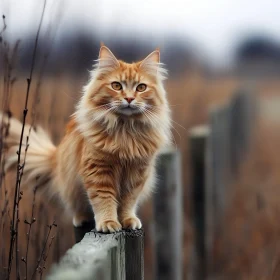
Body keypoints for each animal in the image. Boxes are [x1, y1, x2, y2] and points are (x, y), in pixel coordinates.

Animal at [2, 46, 171, 233]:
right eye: (116, 86)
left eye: (141, 88)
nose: (128, 98)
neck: (125, 131)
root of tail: (55, 158)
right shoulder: (98, 170)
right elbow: (104, 200)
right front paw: (108, 223)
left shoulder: (137, 174)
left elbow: (128, 202)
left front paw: (128, 220)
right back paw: (81, 219)